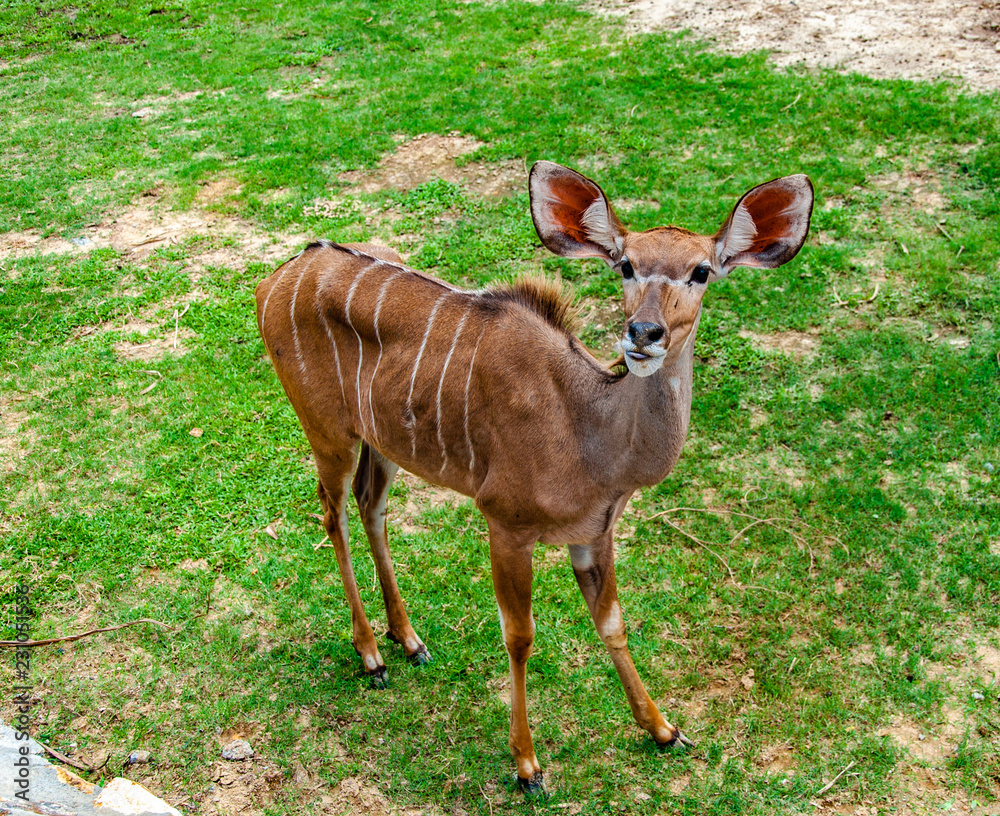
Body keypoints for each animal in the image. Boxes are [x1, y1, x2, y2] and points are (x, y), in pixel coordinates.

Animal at [255, 161, 813, 793]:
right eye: (625, 264)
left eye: (701, 270)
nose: (643, 333)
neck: (590, 432)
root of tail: (279, 275)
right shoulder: (506, 524)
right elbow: (519, 638)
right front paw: (527, 765)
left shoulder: (593, 533)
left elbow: (612, 623)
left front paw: (663, 729)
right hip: (328, 431)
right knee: (334, 515)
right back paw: (371, 654)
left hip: (385, 441)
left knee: (370, 506)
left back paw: (409, 639)